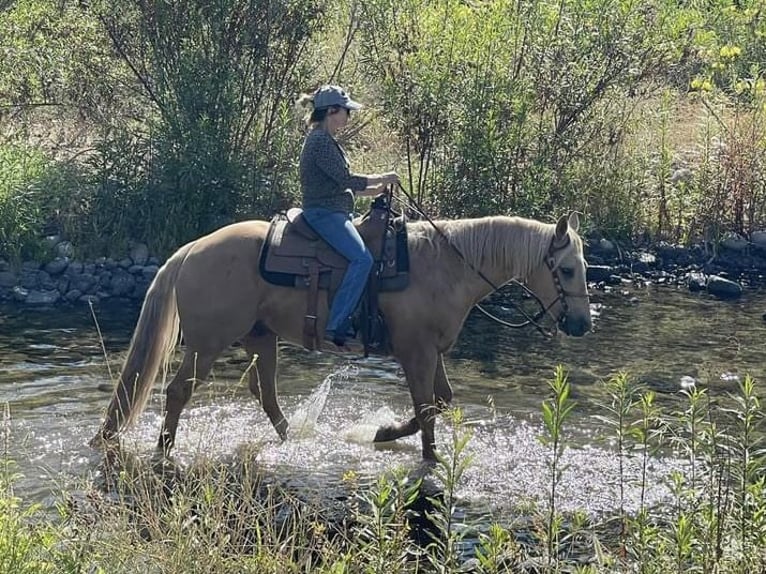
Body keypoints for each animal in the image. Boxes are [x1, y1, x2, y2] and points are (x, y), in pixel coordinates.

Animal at [91, 212, 592, 464]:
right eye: (567, 269)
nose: (582, 325)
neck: (444, 266)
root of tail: (191, 249)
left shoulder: (433, 352)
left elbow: (441, 401)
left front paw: (385, 432)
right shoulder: (415, 352)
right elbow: (426, 408)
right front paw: (424, 454)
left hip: (260, 338)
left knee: (265, 392)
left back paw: (296, 440)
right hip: (207, 344)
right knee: (180, 391)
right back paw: (164, 450)